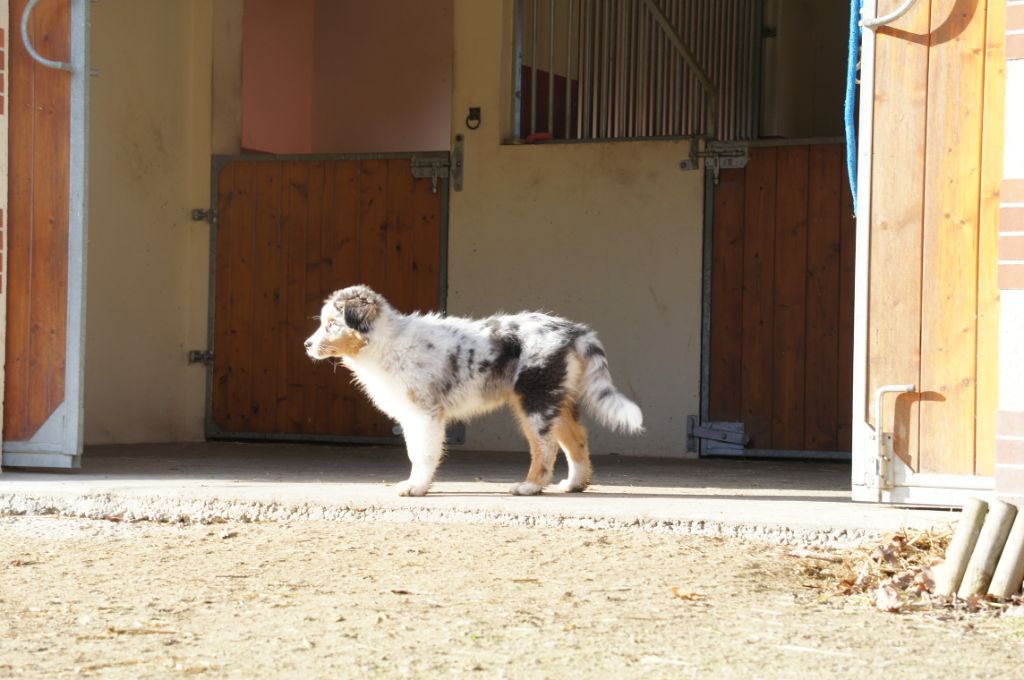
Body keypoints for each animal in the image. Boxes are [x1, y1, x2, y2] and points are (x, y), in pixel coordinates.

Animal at [299, 284, 643, 497]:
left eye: (332, 324)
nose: (306, 345)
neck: (385, 342)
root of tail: (573, 331)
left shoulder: (426, 414)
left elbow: (423, 454)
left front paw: (416, 487)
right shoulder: (410, 417)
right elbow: (414, 452)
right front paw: (416, 484)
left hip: (535, 398)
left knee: (545, 448)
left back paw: (529, 487)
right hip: (557, 398)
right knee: (577, 440)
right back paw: (573, 484)